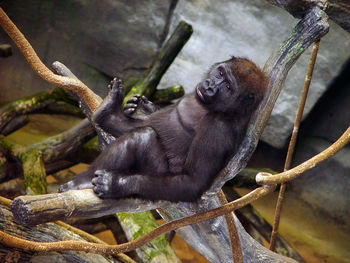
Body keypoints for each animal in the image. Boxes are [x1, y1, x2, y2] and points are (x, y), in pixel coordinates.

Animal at [58, 56, 266, 203]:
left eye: (229, 87)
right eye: (221, 73)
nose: (210, 86)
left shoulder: (219, 128)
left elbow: (192, 182)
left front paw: (116, 185)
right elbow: (152, 121)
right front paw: (140, 107)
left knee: (142, 137)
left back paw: (83, 181)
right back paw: (108, 112)